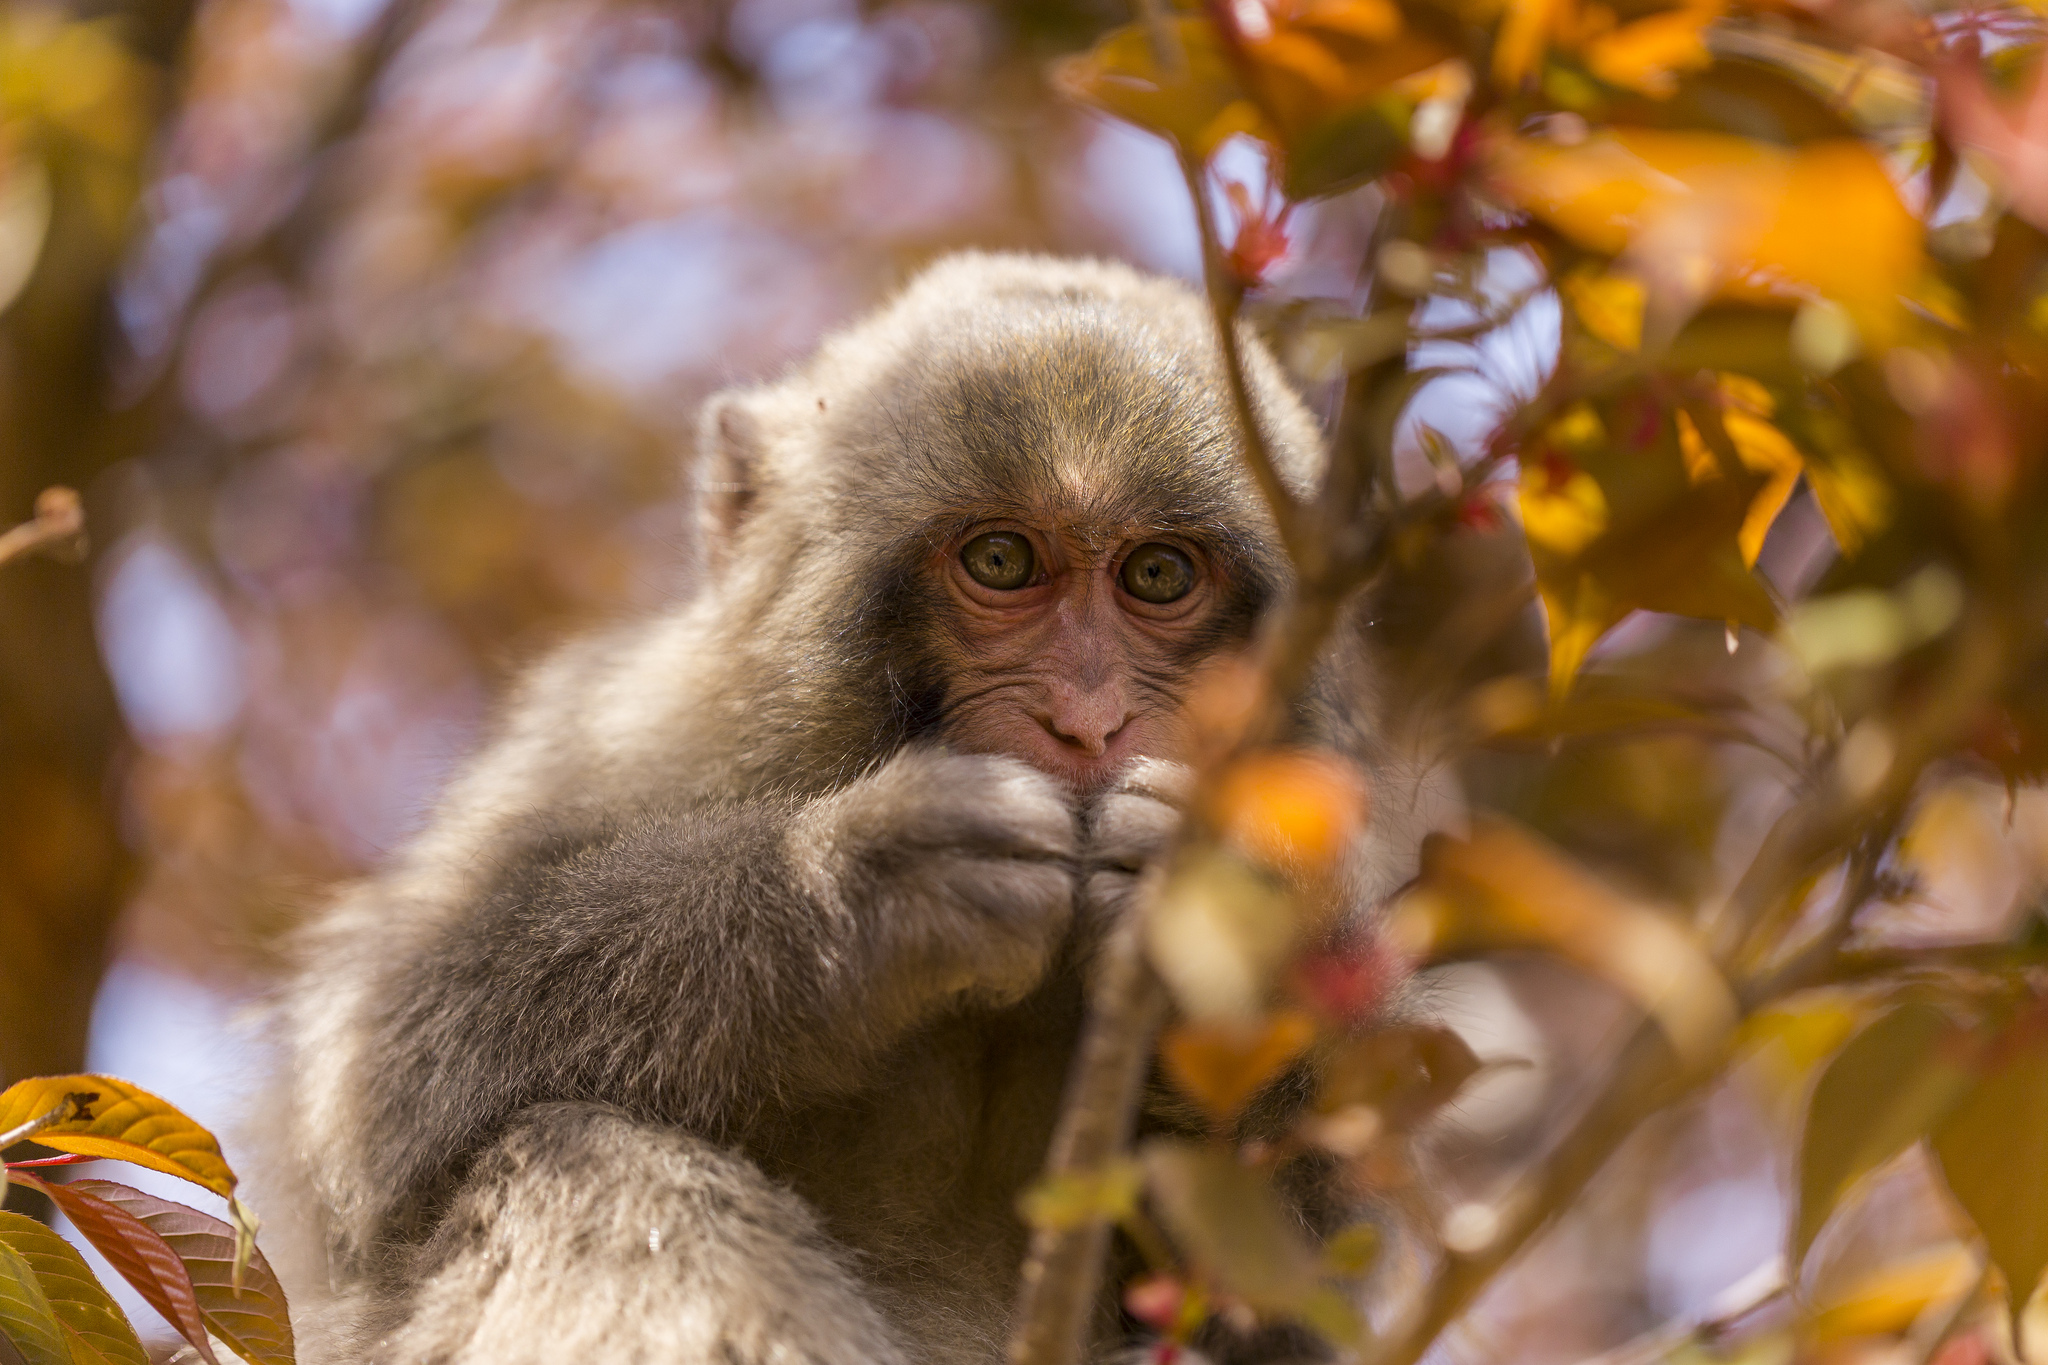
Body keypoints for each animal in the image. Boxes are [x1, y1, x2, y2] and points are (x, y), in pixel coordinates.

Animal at [256, 253, 1441, 1365]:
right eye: (1001, 560)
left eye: (1156, 575)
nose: (1086, 719)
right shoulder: (611, 736)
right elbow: (376, 1083)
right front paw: (858, 889)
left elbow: (1280, 1300)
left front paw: (1242, 913)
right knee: (581, 1153)